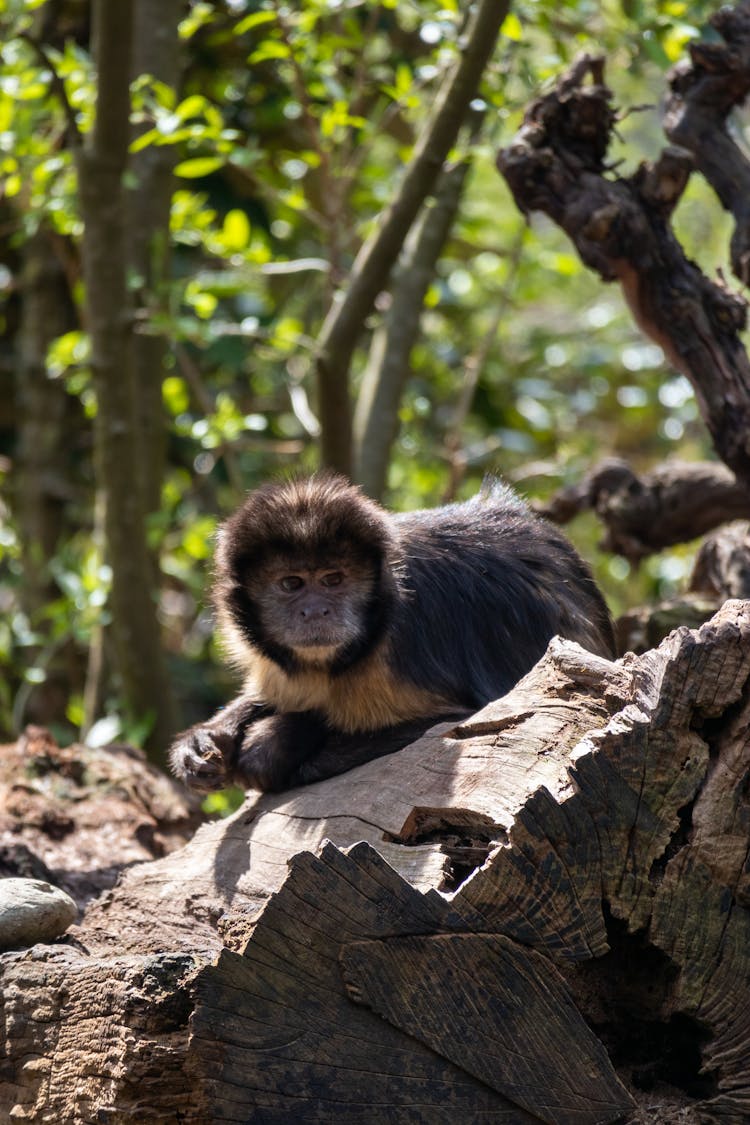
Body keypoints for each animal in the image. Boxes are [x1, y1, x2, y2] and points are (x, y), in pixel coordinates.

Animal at [168, 472, 616, 792]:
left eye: (333, 579)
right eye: (291, 584)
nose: (316, 610)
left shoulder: (405, 644)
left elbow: (469, 722)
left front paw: (278, 744)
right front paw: (209, 736)